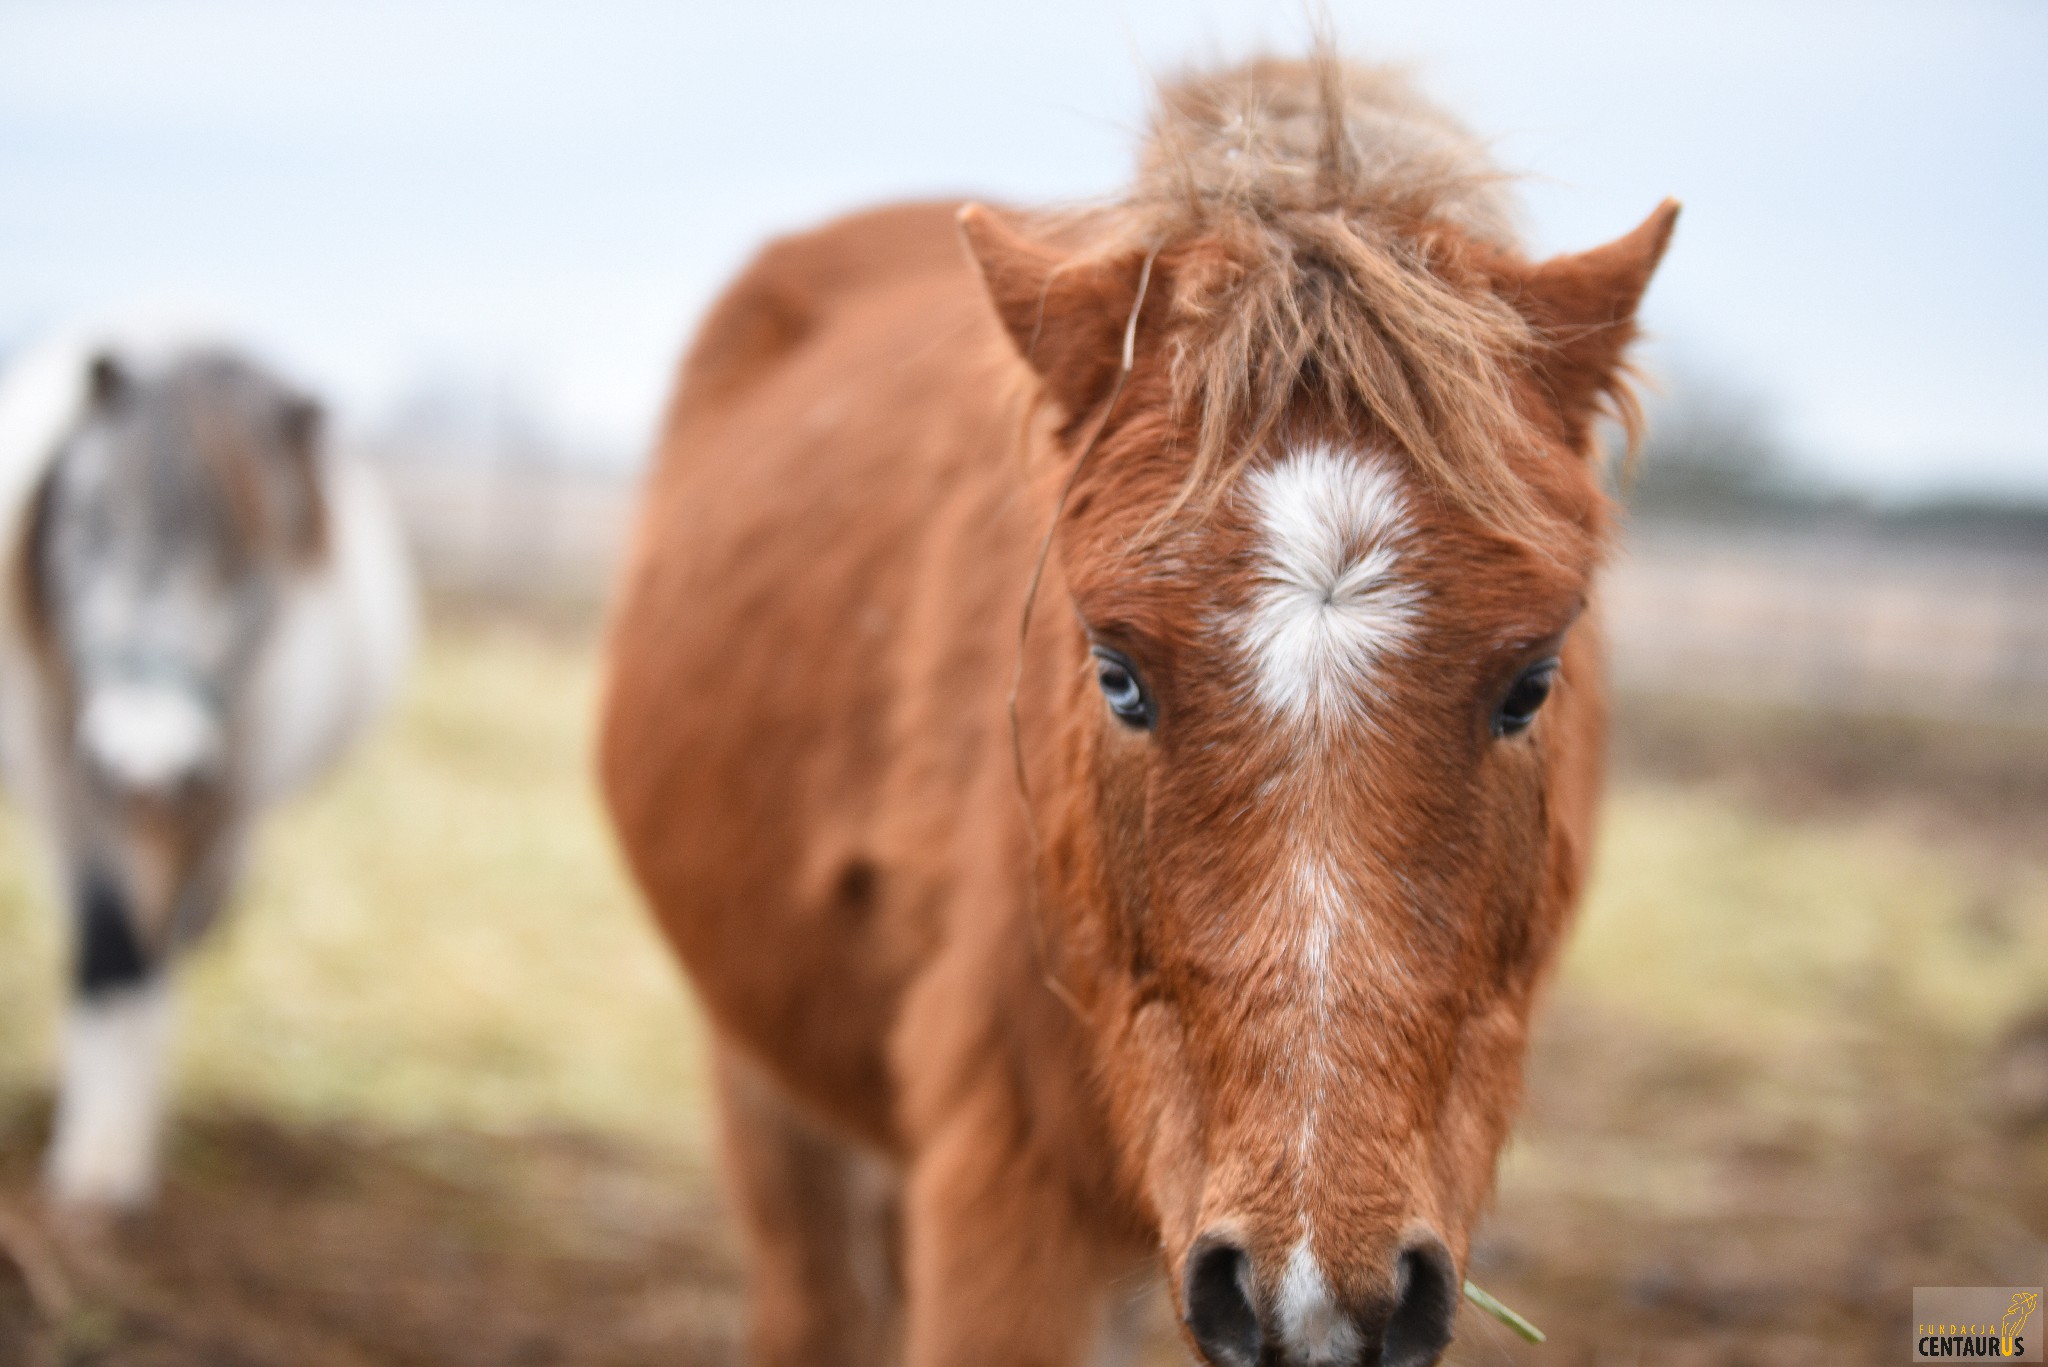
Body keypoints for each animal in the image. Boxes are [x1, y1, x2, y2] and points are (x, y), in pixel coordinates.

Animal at [0, 332, 415, 1205]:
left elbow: (162, 935)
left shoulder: (218, 795)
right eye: (90, 519)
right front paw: (97, 1162)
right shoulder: (77, 792)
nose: (143, 758)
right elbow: (111, 947)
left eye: (243, 557)